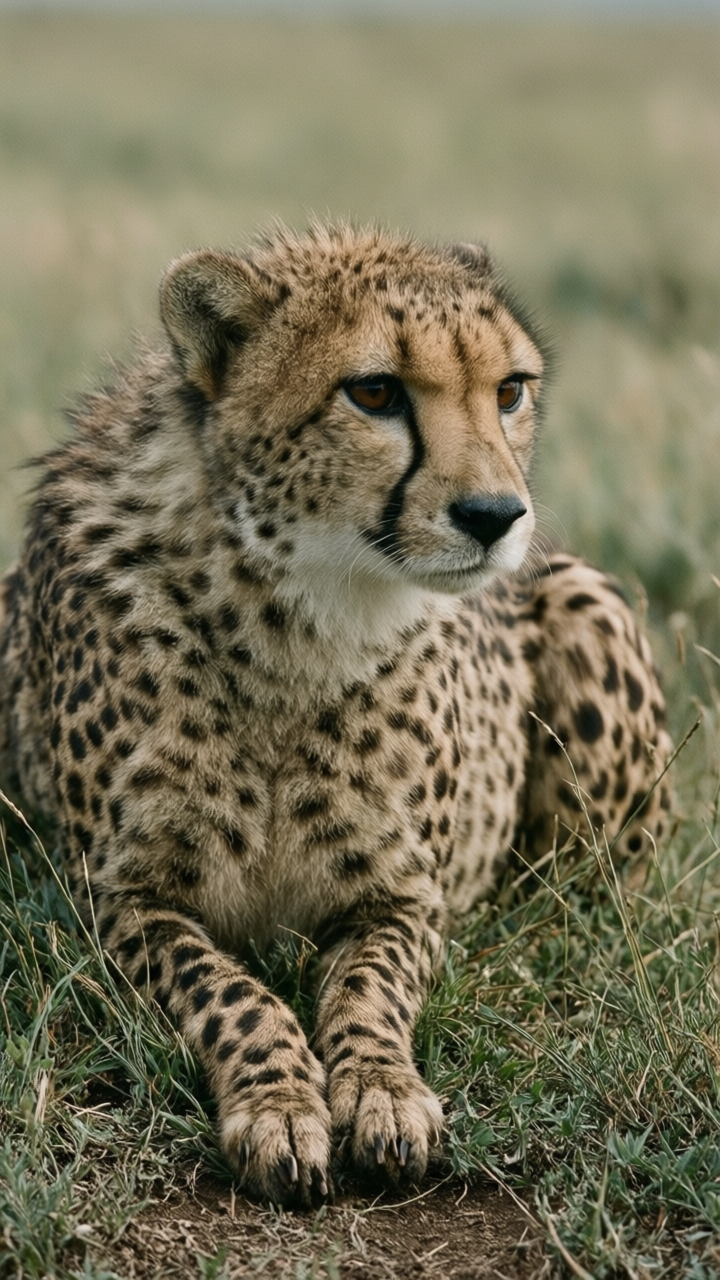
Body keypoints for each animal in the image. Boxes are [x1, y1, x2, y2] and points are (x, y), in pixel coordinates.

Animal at [0, 221, 672, 1208]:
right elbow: (231, 989)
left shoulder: (405, 897)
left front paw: (384, 1091)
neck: (295, 615)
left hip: (588, 606)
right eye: (375, 392)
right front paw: (279, 1104)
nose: (495, 515)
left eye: (509, 390)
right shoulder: (117, 901)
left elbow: (368, 988)